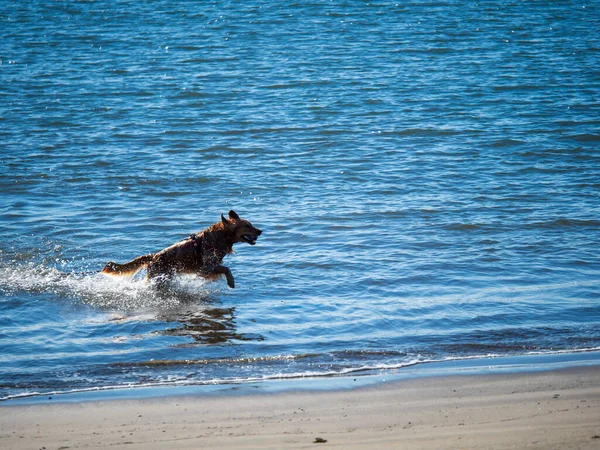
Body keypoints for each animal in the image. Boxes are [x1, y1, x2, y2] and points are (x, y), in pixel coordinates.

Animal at [99, 211, 262, 288]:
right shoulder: (207, 266)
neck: (220, 236)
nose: (260, 231)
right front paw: (231, 282)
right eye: (247, 226)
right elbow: (227, 268)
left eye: (251, 224)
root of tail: (153, 256)